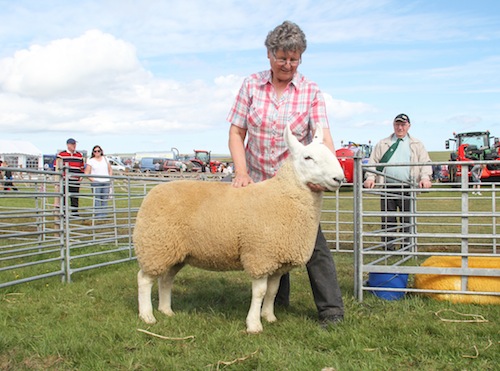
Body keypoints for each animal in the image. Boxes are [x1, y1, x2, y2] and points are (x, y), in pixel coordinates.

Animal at [133, 124, 344, 334]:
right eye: (308, 158)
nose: (339, 178)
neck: (283, 195)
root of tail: (153, 192)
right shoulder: (260, 256)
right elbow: (260, 292)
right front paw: (254, 324)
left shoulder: (277, 262)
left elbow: (272, 291)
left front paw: (269, 316)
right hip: (155, 245)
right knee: (144, 279)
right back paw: (147, 316)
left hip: (175, 251)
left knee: (166, 279)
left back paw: (166, 310)